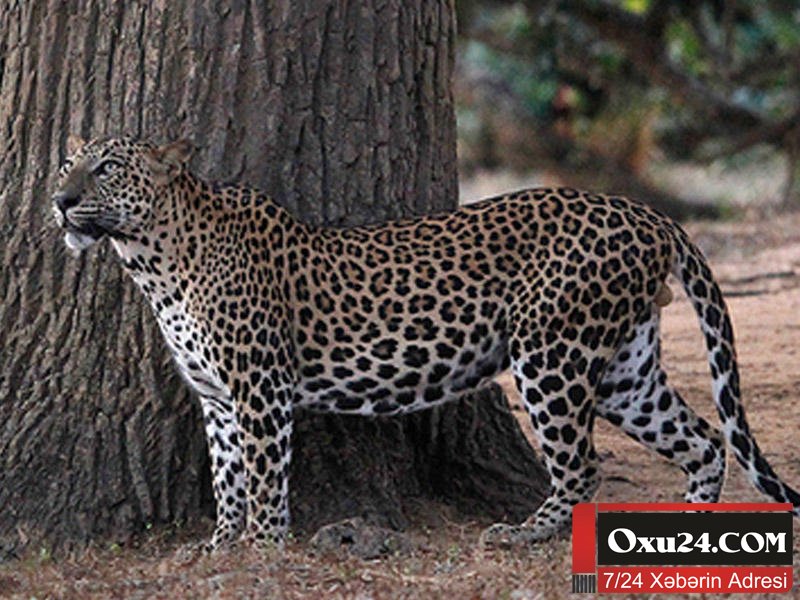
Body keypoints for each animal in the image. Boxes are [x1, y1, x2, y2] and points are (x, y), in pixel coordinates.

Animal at [52, 135, 800, 551]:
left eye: (107, 167)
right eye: (65, 165)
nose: (60, 201)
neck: (152, 259)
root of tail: (646, 212)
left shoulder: (259, 389)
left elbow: (263, 476)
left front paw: (263, 549)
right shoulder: (217, 397)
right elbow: (227, 477)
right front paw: (219, 547)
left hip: (553, 354)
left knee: (582, 463)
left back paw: (524, 535)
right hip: (625, 370)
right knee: (703, 440)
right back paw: (684, 532)